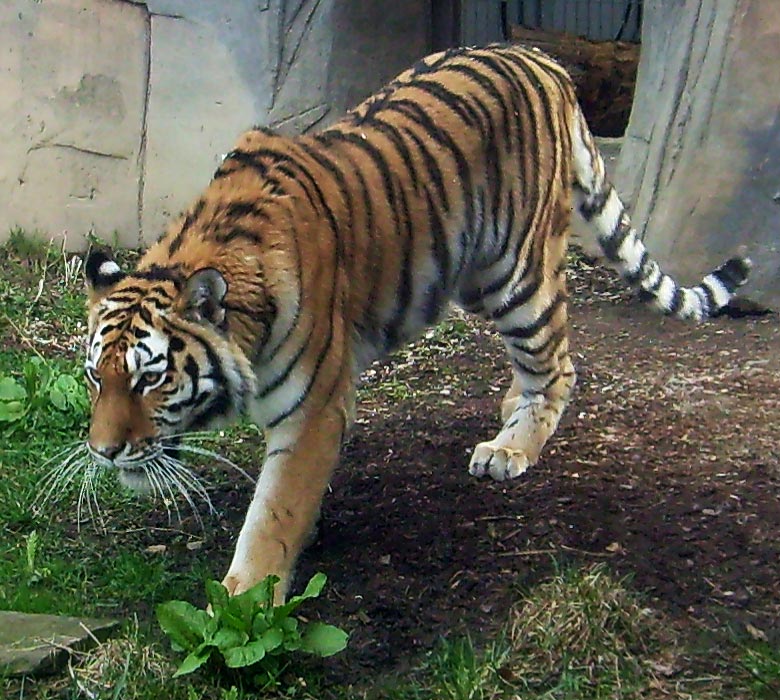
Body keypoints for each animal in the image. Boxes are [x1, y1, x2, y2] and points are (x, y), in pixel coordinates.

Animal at [84, 43, 748, 600]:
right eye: (96, 377)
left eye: (151, 378)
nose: (103, 452)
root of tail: (543, 58)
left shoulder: (313, 410)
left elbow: (273, 512)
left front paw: (243, 604)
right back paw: (510, 410)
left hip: (516, 277)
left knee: (558, 364)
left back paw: (511, 449)